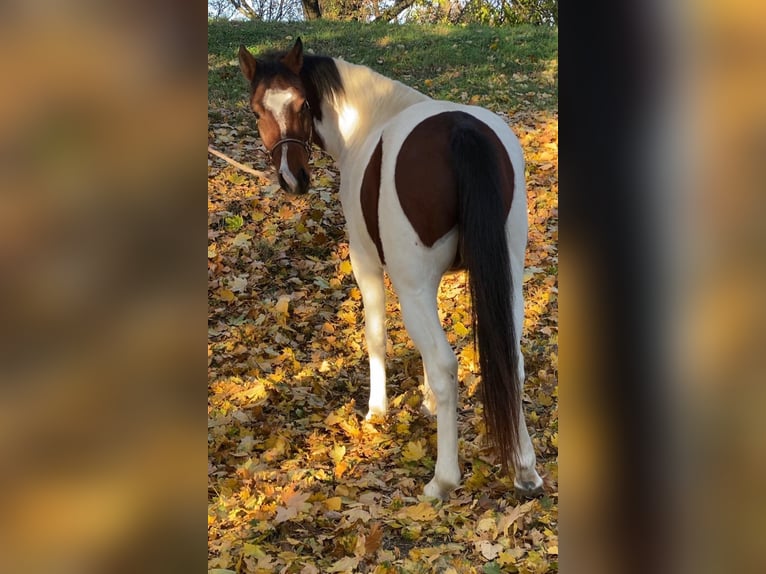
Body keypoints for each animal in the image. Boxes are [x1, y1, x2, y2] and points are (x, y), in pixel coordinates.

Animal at [240, 38, 544, 502]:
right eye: (259, 110)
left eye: (302, 103)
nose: (293, 178)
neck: (370, 120)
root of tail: (461, 130)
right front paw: (428, 402)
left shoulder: (366, 262)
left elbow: (377, 337)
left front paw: (377, 410)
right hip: (506, 278)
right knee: (512, 360)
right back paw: (525, 469)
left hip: (409, 284)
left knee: (445, 365)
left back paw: (443, 479)